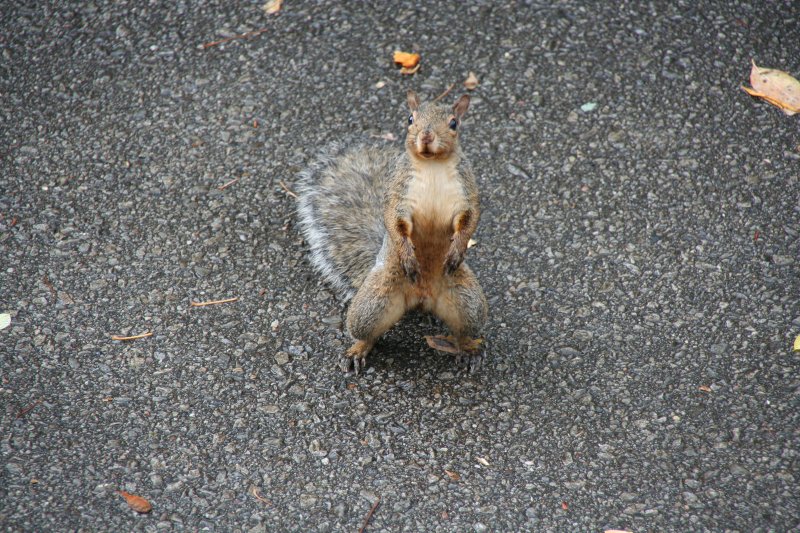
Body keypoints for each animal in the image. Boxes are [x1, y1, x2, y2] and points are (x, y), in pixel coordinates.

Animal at [296, 90, 484, 374]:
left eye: (454, 123)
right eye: (410, 119)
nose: (426, 136)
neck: (433, 165)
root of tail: (421, 300)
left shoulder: (467, 191)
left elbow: (469, 220)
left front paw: (456, 250)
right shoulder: (398, 194)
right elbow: (395, 222)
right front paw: (408, 256)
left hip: (468, 302)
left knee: (463, 331)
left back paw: (469, 350)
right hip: (373, 303)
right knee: (367, 333)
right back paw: (357, 351)